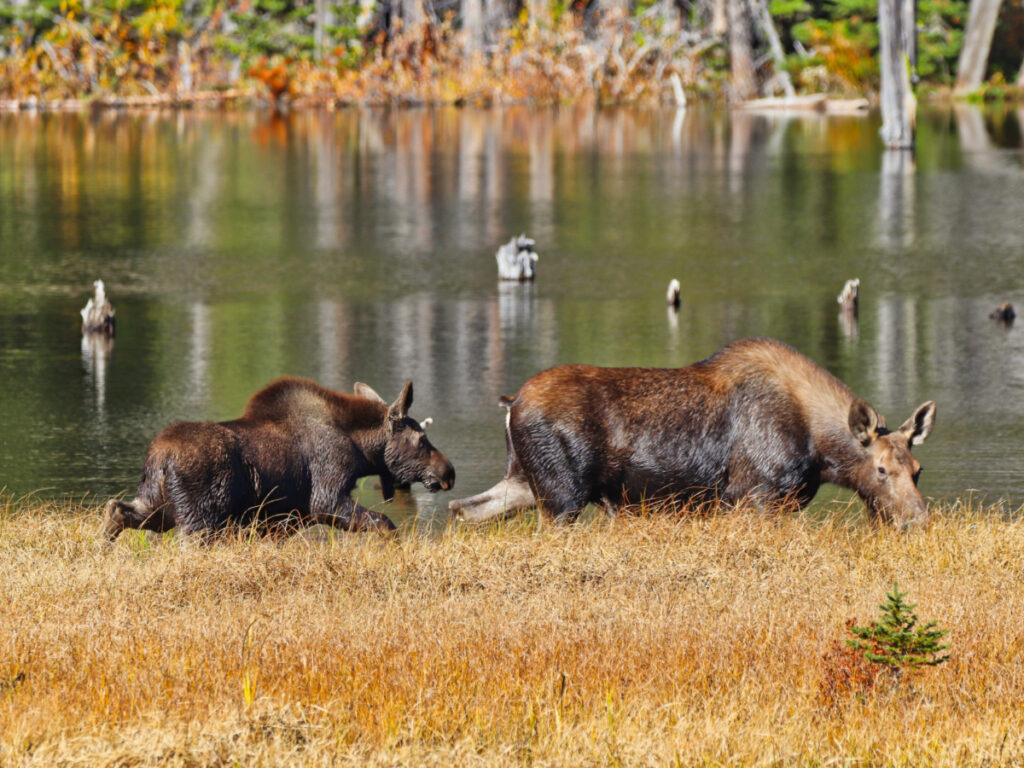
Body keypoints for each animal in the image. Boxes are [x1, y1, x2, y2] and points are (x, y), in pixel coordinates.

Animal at [105, 378, 454, 540]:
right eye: (422, 439)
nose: (448, 471)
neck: (361, 451)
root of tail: (158, 459)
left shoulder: (280, 519)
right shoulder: (324, 497)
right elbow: (384, 523)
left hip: (157, 505)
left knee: (118, 510)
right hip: (199, 518)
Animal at [448, 339, 937, 532]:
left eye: (918, 469)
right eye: (880, 469)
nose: (918, 520)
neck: (820, 451)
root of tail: (511, 403)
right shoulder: (754, 497)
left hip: (525, 481)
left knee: (463, 509)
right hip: (561, 495)